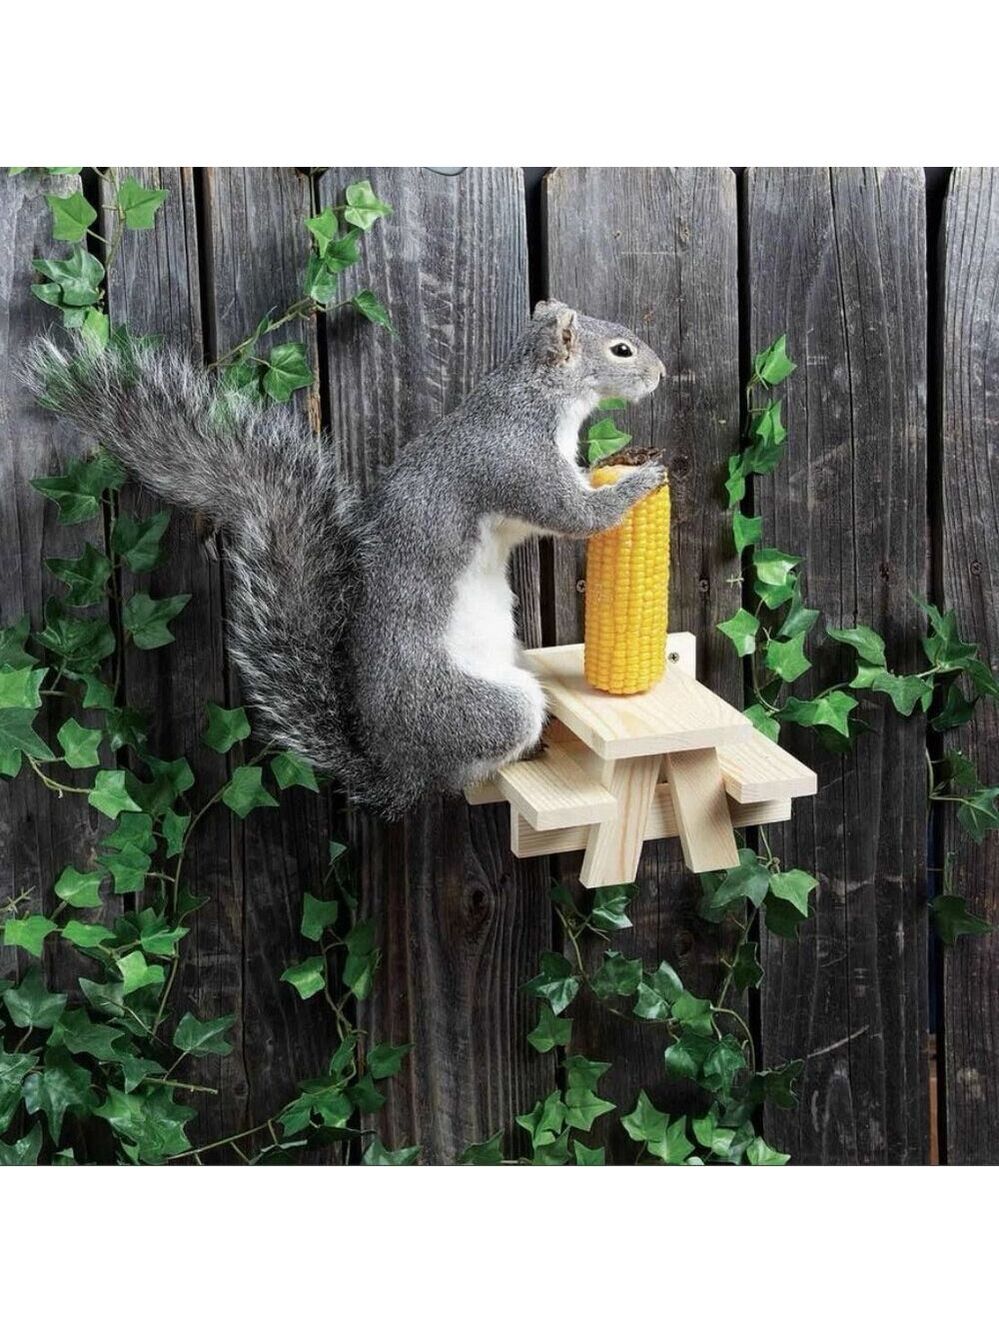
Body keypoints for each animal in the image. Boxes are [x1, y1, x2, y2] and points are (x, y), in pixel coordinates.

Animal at [22, 300, 667, 818]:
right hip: (480, 709)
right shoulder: (515, 461)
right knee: (472, 766)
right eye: (622, 349)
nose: (660, 373)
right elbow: (573, 515)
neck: (533, 394)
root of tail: (400, 777)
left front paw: (627, 456)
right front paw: (640, 482)